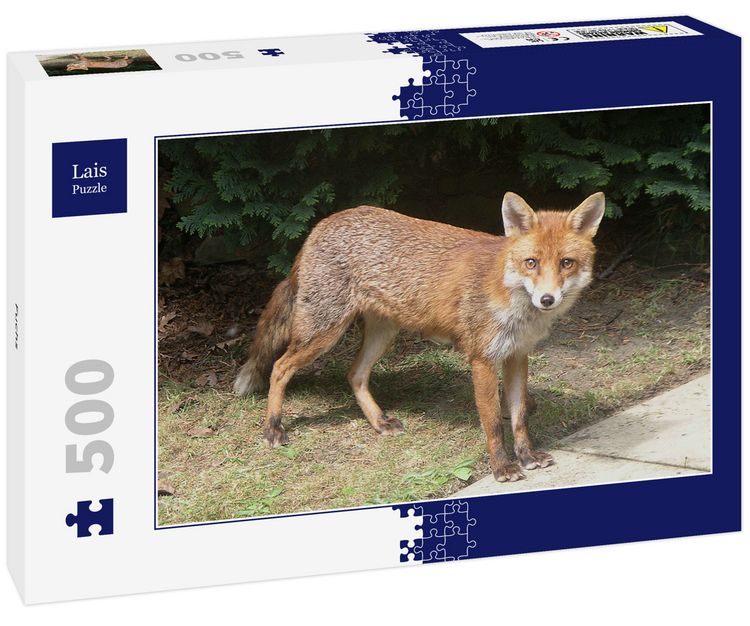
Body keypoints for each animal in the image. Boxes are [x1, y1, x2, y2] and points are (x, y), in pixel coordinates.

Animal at [234, 191, 605, 482]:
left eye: (566, 263)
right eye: (531, 262)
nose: (547, 299)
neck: (511, 297)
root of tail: (323, 223)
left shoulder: (516, 355)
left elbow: (519, 417)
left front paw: (527, 456)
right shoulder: (482, 359)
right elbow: (493, 423)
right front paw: (503, 468)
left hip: (383, 334)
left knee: (354, 375)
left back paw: (379, 423)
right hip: (324, 333)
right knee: (280, 368)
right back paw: (273, 428)